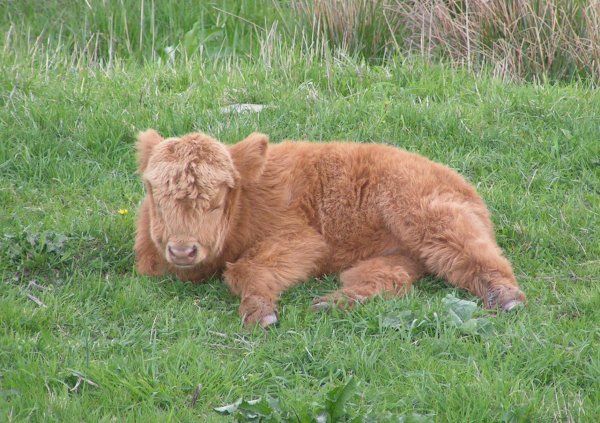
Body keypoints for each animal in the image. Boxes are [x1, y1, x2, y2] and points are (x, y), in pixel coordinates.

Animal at [134, 131, 524, 330]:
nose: (182, 250)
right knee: (388, 280)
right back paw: (331, 303)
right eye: (154, 191)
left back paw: (507, 298)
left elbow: (246, 268)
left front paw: (262, 314)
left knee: (476, 256)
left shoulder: (303, 241)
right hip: (402, 257)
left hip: (430, 220)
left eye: (217, 198)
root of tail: (463, 185)